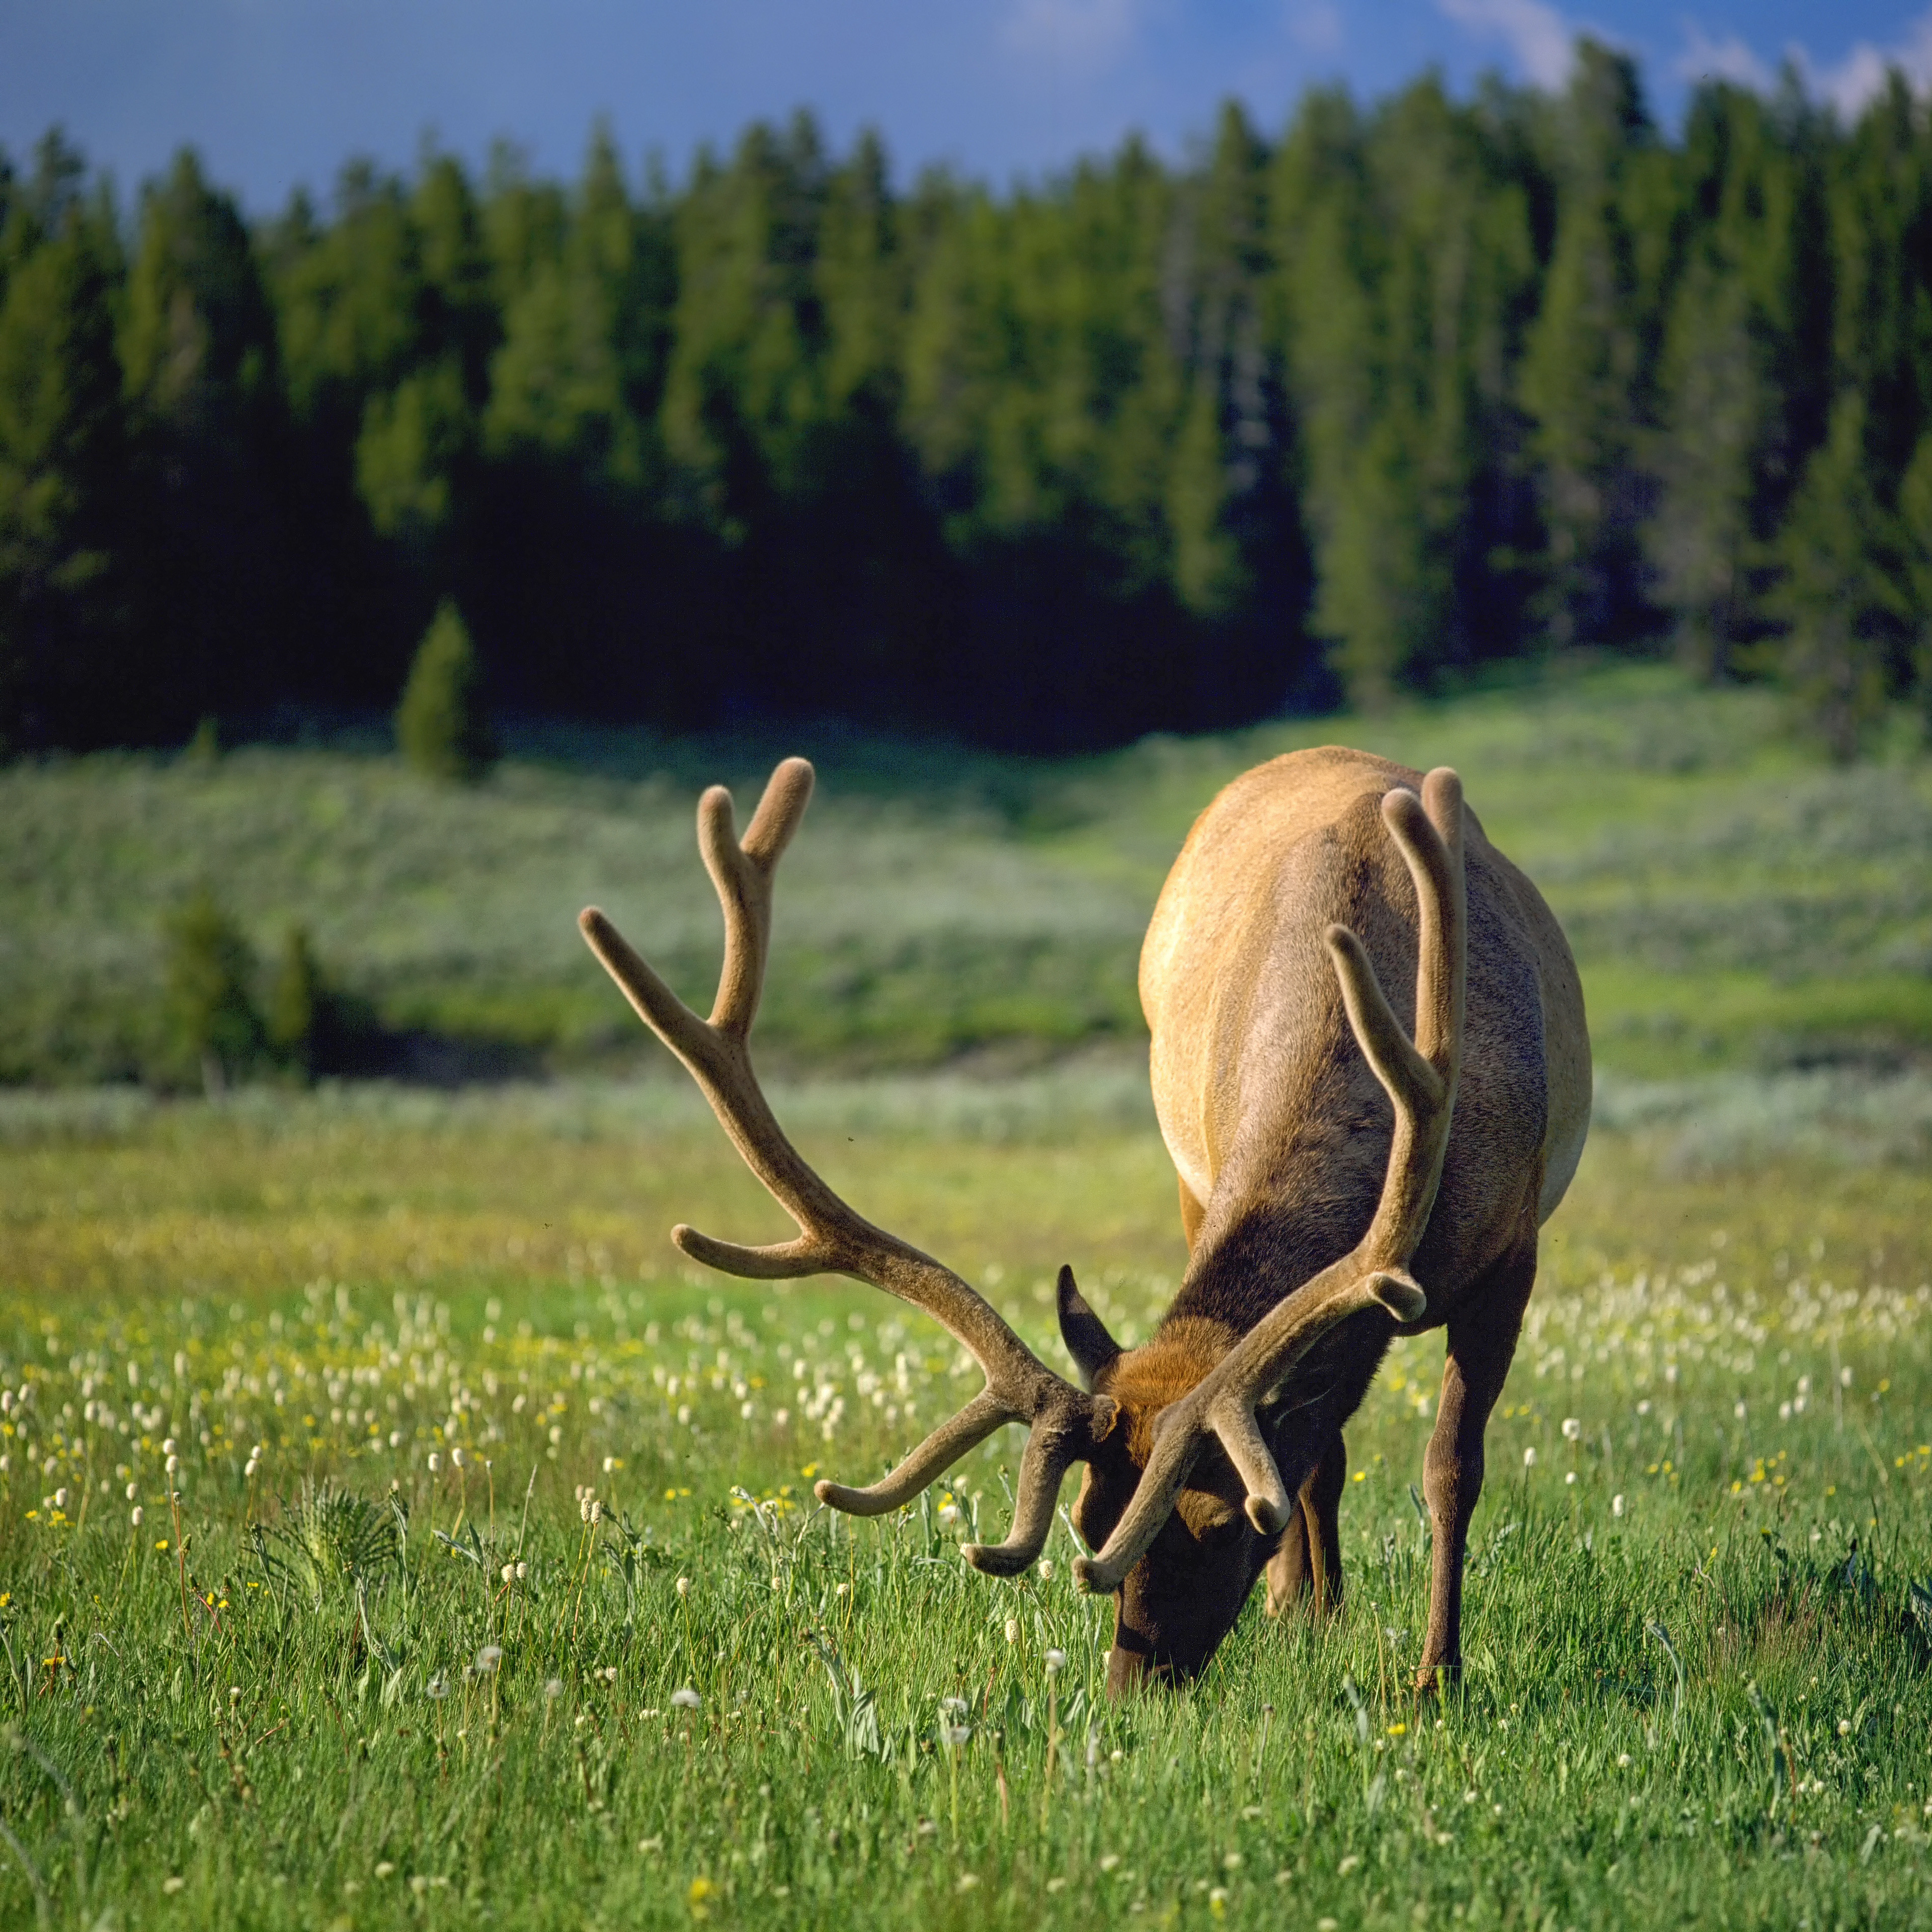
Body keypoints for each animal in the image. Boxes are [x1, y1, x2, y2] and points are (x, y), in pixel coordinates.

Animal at [579, 749, 1592, 1692]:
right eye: (1086, 1519)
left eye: (1225, 1520)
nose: (1131, 1685)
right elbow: (1320, 1455)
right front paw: (1313, 1616)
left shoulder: (1514, 1247)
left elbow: (1450, 1468)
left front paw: (1437, 1675)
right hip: (1189, 1179)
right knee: (1324, 1448)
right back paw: (1302, 1608)